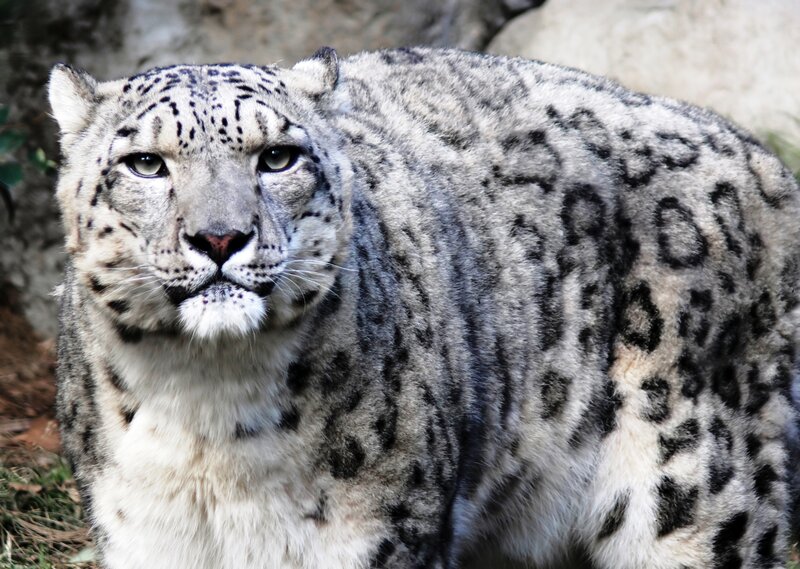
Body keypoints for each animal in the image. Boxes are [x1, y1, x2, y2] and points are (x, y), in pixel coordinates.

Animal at [48, 46, 800, 569]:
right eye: (146, 164)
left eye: (278, 157)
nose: (221, 237)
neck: (206, 410)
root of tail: (761, 156)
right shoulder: (147, 538)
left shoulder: (378, 535)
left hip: (699, 491)